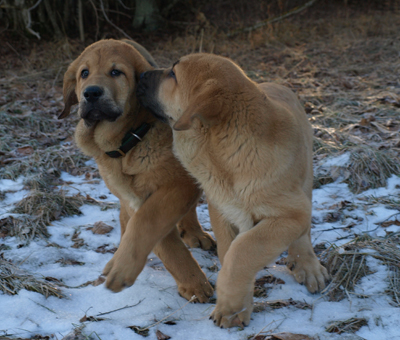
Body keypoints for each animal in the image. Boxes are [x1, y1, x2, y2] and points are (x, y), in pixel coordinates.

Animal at [58, 40, 216, 302]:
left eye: (116, 72)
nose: (91, 93)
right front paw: (194, 284)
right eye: (84, 73)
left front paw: (194, 284)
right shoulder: (133, 197)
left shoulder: (178, 184)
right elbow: (157, 236)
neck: (127, 142)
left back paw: (194, 233)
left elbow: (148, 222)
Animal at [136, 53, 330, 326]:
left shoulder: (291, 213)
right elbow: (230, 251)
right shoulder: (223, 210)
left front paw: (229, 304)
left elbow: (242, 251)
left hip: (305, 183)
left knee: (303, 234)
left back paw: (307, 264)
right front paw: (237, 306)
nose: (140, 75)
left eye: (173, 74)